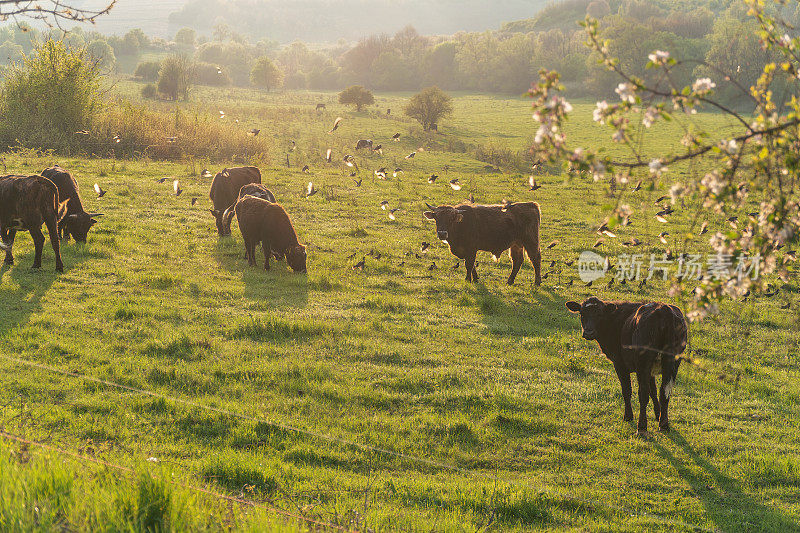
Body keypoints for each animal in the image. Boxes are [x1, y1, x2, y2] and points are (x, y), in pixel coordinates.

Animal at [564, 298, 688, 434]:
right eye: (582, 314)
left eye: (599, 314)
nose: (588, 332)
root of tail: (663, 309)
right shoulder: (650, 371)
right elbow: (654, 391)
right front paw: (657, 414)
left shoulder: (619, 364)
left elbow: (627, 390)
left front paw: (628, 416)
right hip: (672, 363)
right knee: (664, 392)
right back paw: (664, 425)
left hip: (643, 361)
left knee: (643, 393)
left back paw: (642, 427)